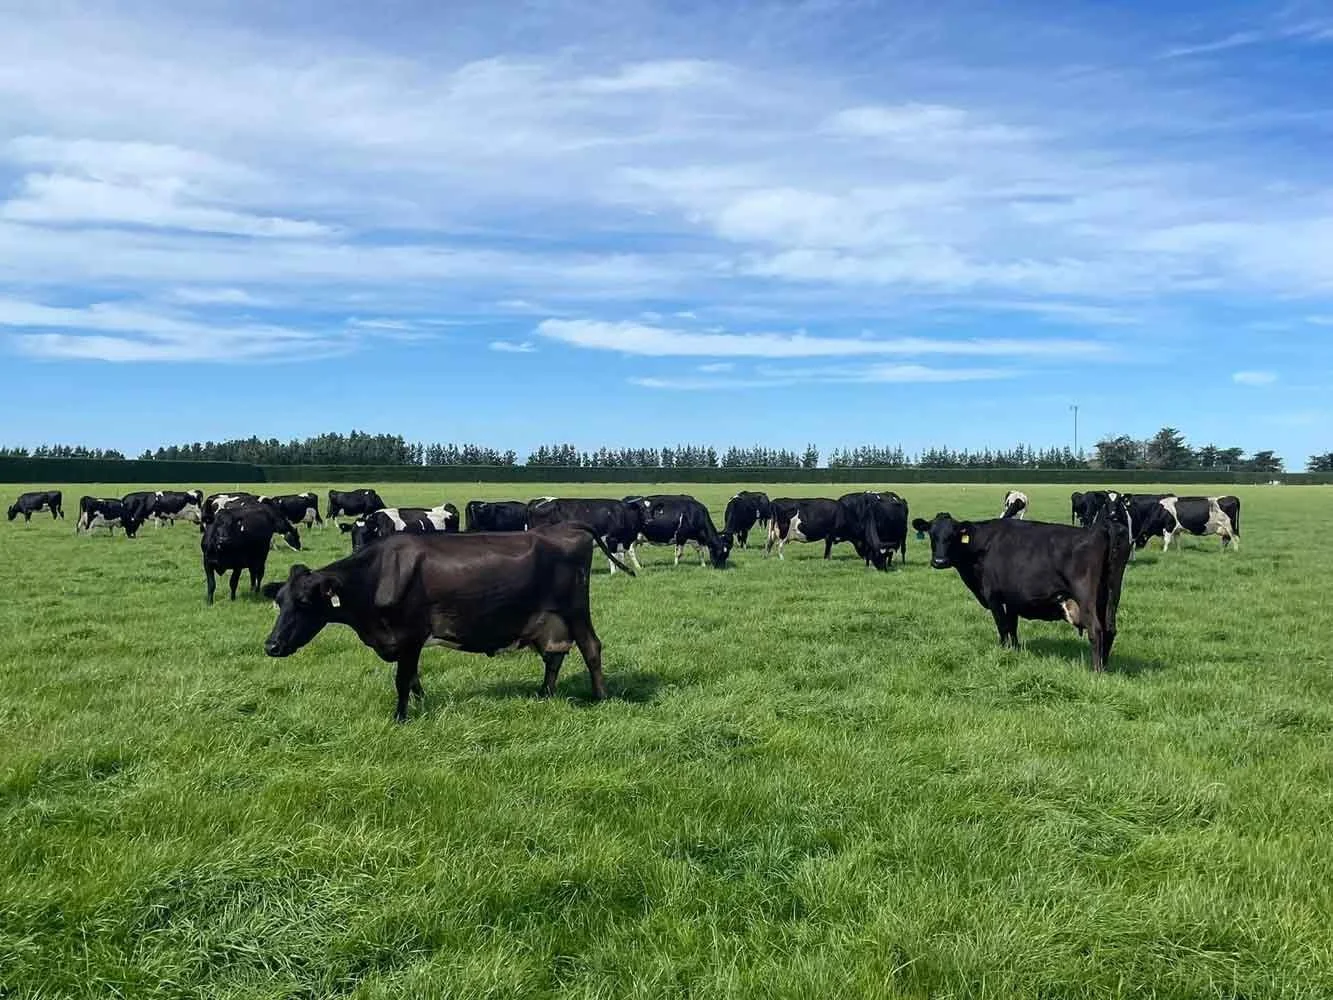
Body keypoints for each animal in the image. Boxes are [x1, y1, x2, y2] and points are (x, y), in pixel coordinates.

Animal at [261, 522, 632, 721]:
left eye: (304, 602)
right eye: (279, 601)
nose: (271, 645)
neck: (377, 575)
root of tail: (567, 527)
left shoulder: (410, 635)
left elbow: (403, 679)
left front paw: (400, 718)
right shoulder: (405, 642)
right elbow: (413, 679)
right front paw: (421, 703)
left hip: (576, 610)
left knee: (591, 648)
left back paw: (600, 697)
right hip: (548, 620)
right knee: (554, 656)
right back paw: (544, 694)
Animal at [912, 506, 1132, 671]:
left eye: (952, 536)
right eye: (932, 534)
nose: (939, 561)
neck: (982, 546)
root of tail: (1101, 528)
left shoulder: (994, 597)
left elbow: (1002, 627)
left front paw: (1003, 651)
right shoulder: (1012, 598)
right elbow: (1012, 626)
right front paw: (1015, 651)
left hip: (1086, 596)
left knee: (1096, 629)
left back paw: (1095, 670)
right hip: (1112, 594)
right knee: (1110, 629)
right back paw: (1104, 666)